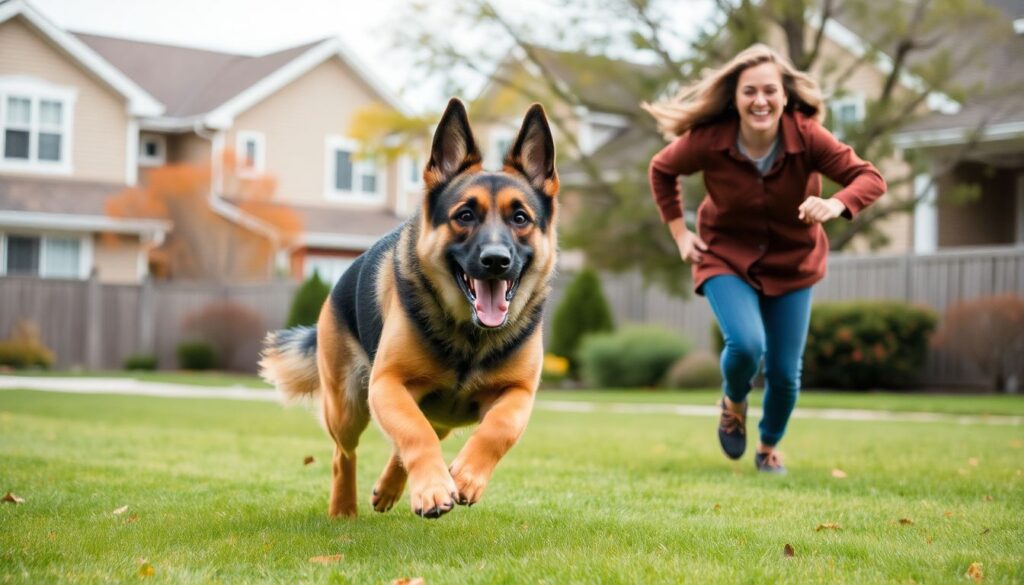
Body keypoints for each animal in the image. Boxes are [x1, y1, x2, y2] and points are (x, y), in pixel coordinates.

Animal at [260, 98, 557, 520]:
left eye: (520, 218)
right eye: (465, 215)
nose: (496, 261)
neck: (470, 337)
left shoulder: (518, 394)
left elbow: (497, 429)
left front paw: (466, 476)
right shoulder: (387, 385)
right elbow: (414, 434)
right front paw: (432, 488)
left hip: (436, 415)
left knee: (421, 433)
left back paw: (390, 488)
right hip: (347, 407)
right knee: (344, 453)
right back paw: (344, 507)